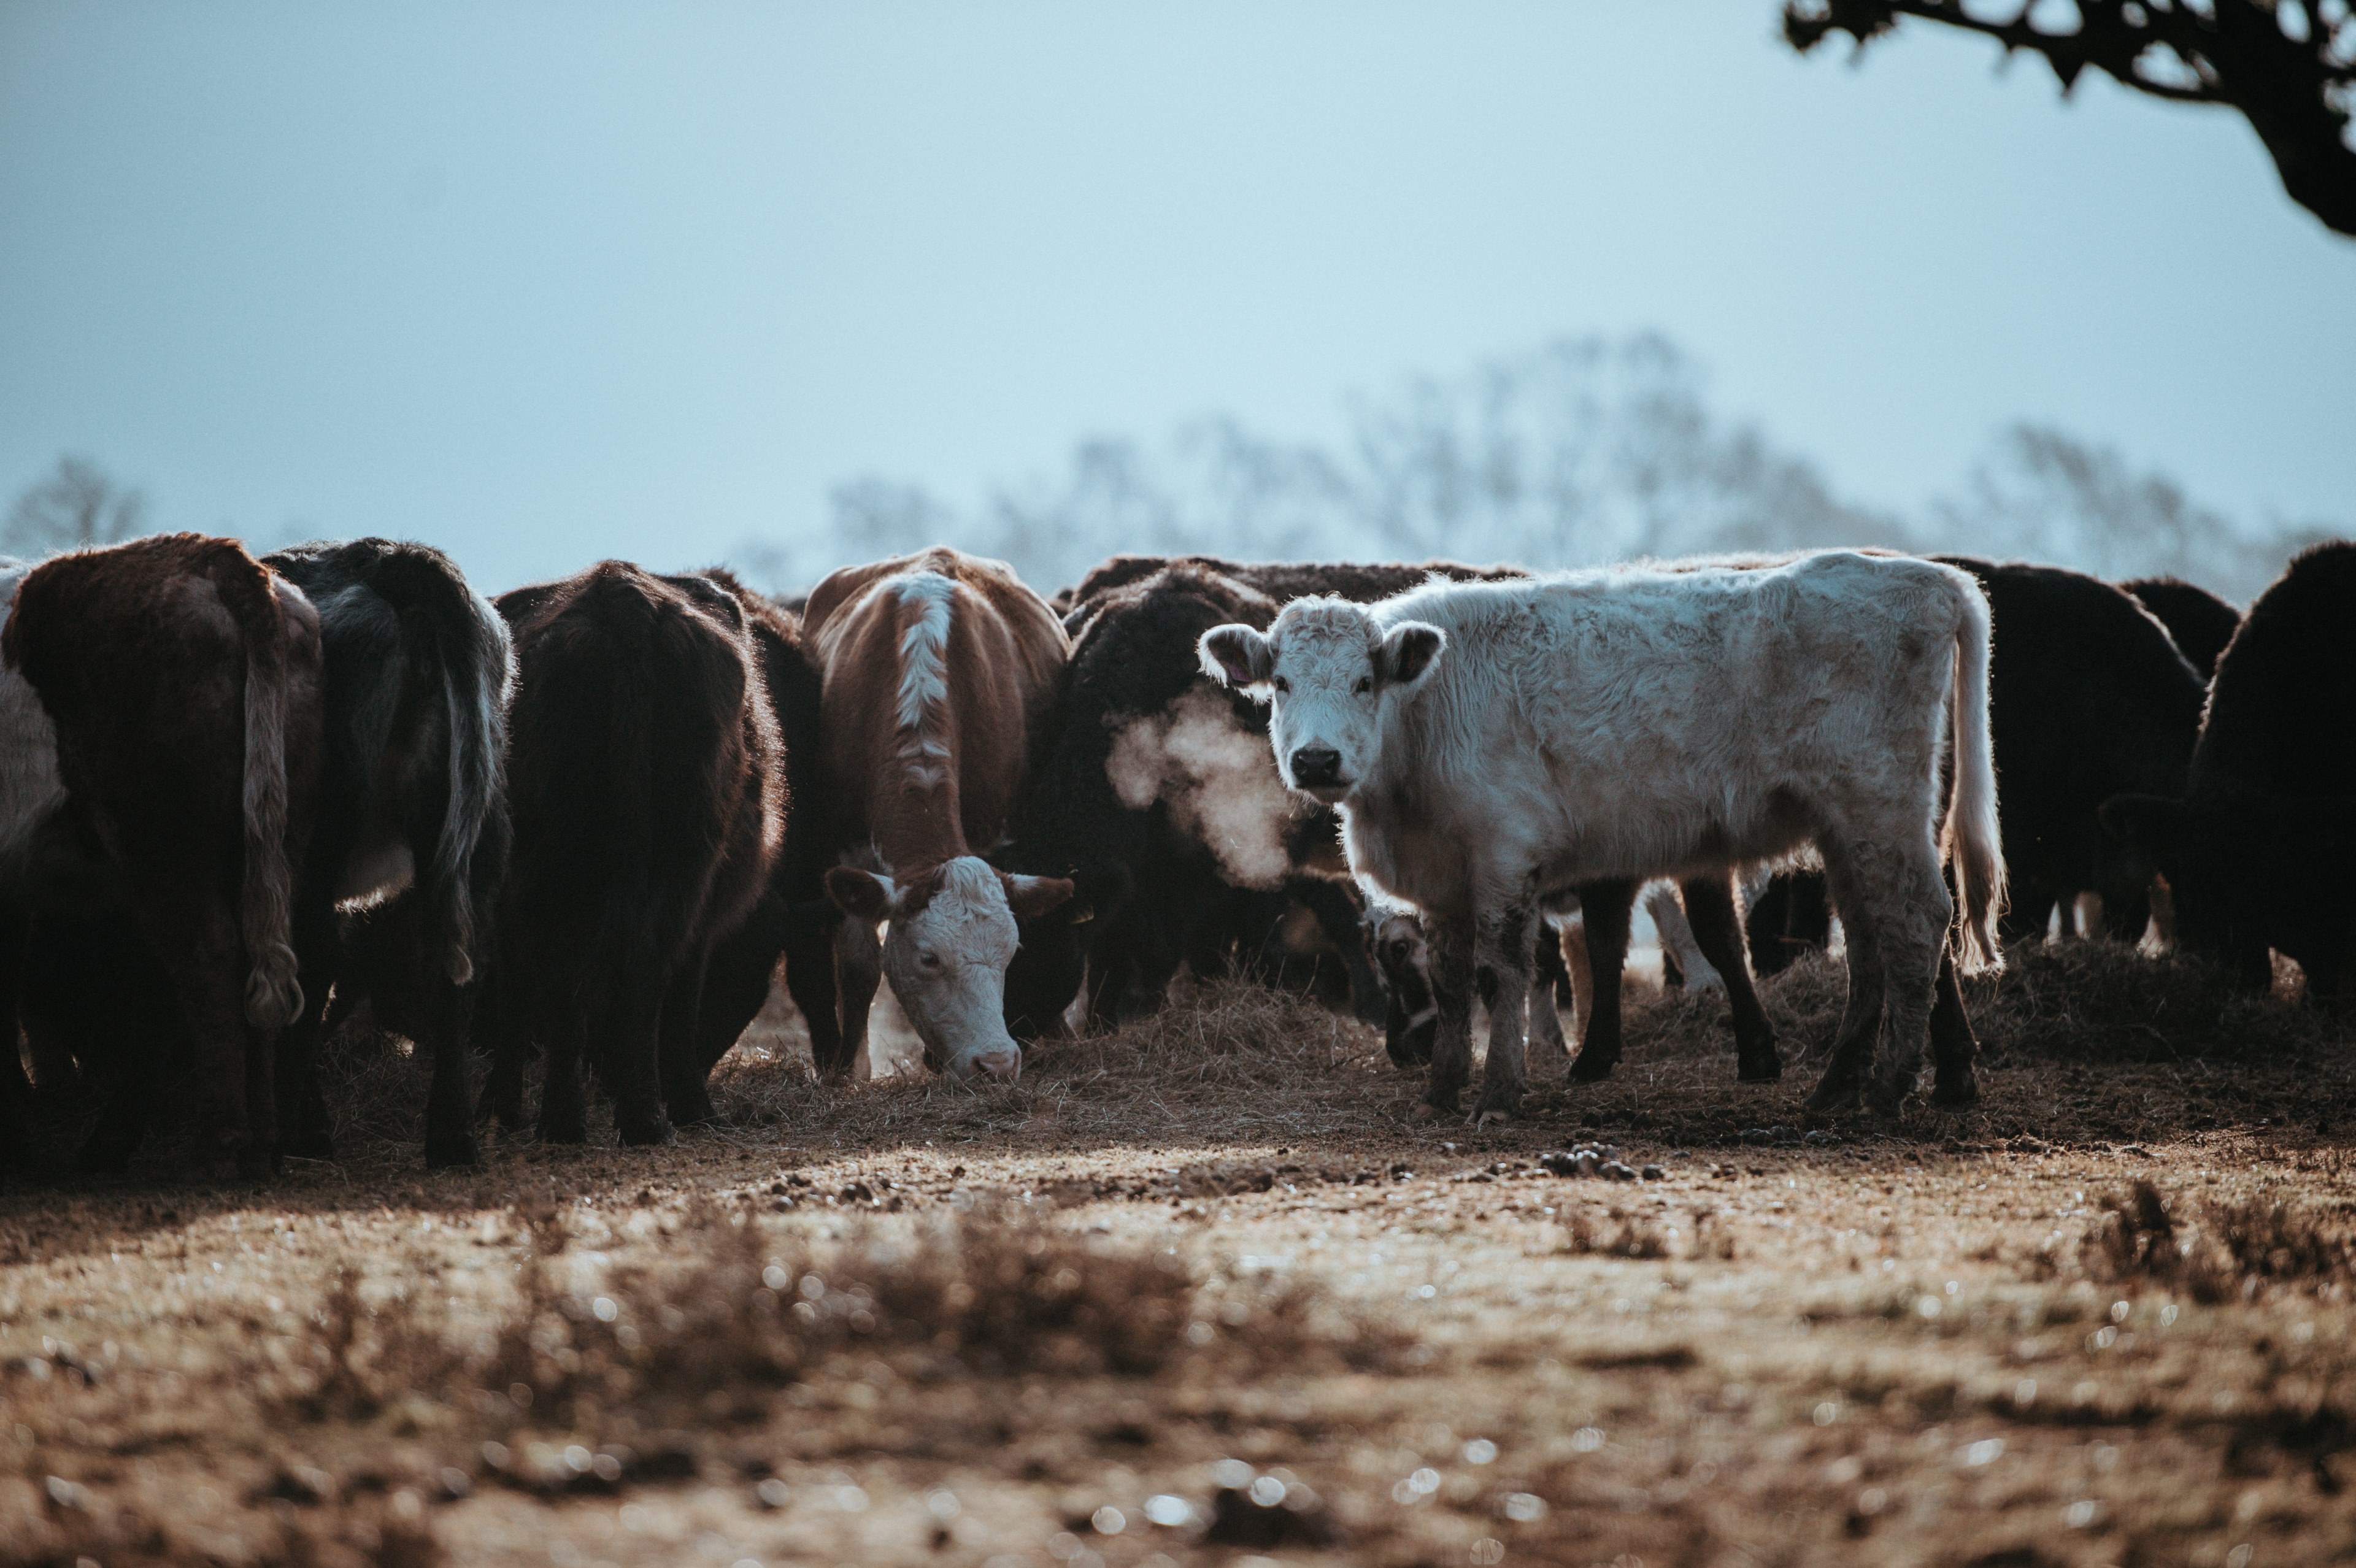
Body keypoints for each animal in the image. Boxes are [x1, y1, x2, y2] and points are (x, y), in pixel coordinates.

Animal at [2, 534, 323, 1173]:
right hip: (273, 836)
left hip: (161, 839)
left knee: (207, 957)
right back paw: (262, 1143)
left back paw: (218, 1144)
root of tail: (214, 559)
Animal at [488, 562, 784, 1144]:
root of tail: (624, 599)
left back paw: (573, 1120)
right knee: (642, 975)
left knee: (580, 979)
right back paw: (646, 1117)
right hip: (680, 860)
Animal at [803, 548, 1073, 1080]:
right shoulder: (847, 845)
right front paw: (849, 1069)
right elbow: (859, 964)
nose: (996, 1063)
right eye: (929, 959)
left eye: (1010, 954)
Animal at [1201, 550, 2004, 1122]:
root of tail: (1929, 576)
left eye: (1364, 682)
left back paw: (1890, 1090)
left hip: (1881, 806)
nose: (1317, 759)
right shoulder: (1445, 877)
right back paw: (1837, 1086)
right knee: (1870, 939)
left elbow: (1503, 974)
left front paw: (1500, 1096)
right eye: (1281, 685)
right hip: (1847, 828)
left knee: (1918, 922)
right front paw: (1442, 1090)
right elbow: (1455, 982)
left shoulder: (1505, 855)